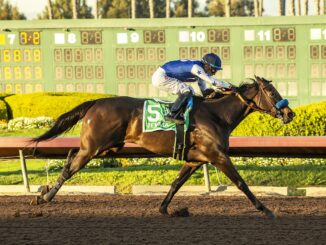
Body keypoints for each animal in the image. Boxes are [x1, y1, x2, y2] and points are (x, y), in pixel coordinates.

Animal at [31, 76, 296, 218]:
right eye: (271, 91)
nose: (289, 113)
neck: (216, 115)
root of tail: (95, 102)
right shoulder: (218, 156)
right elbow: (241, 183)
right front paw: (266, 209)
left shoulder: (195, 160)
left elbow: (176, 183)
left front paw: (164, 208)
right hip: (94, 148)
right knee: (70, 167)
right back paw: (45, 198)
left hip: (108, 147)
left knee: (70, 156)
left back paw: (44, 191)